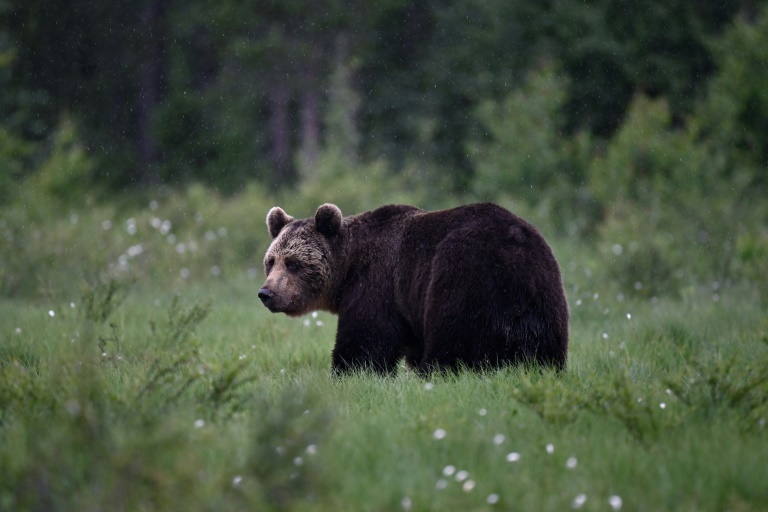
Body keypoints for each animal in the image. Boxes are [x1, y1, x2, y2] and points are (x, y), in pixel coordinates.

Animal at [260, 202, 568, 374]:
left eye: (293, 263)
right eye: (271, 261)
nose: (266, 293)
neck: (348, 268)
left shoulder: (378, 284)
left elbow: (364, 340)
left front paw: (349, 372)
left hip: (463, 273)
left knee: (453, 335)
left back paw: (432, 372)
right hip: (542, 291)